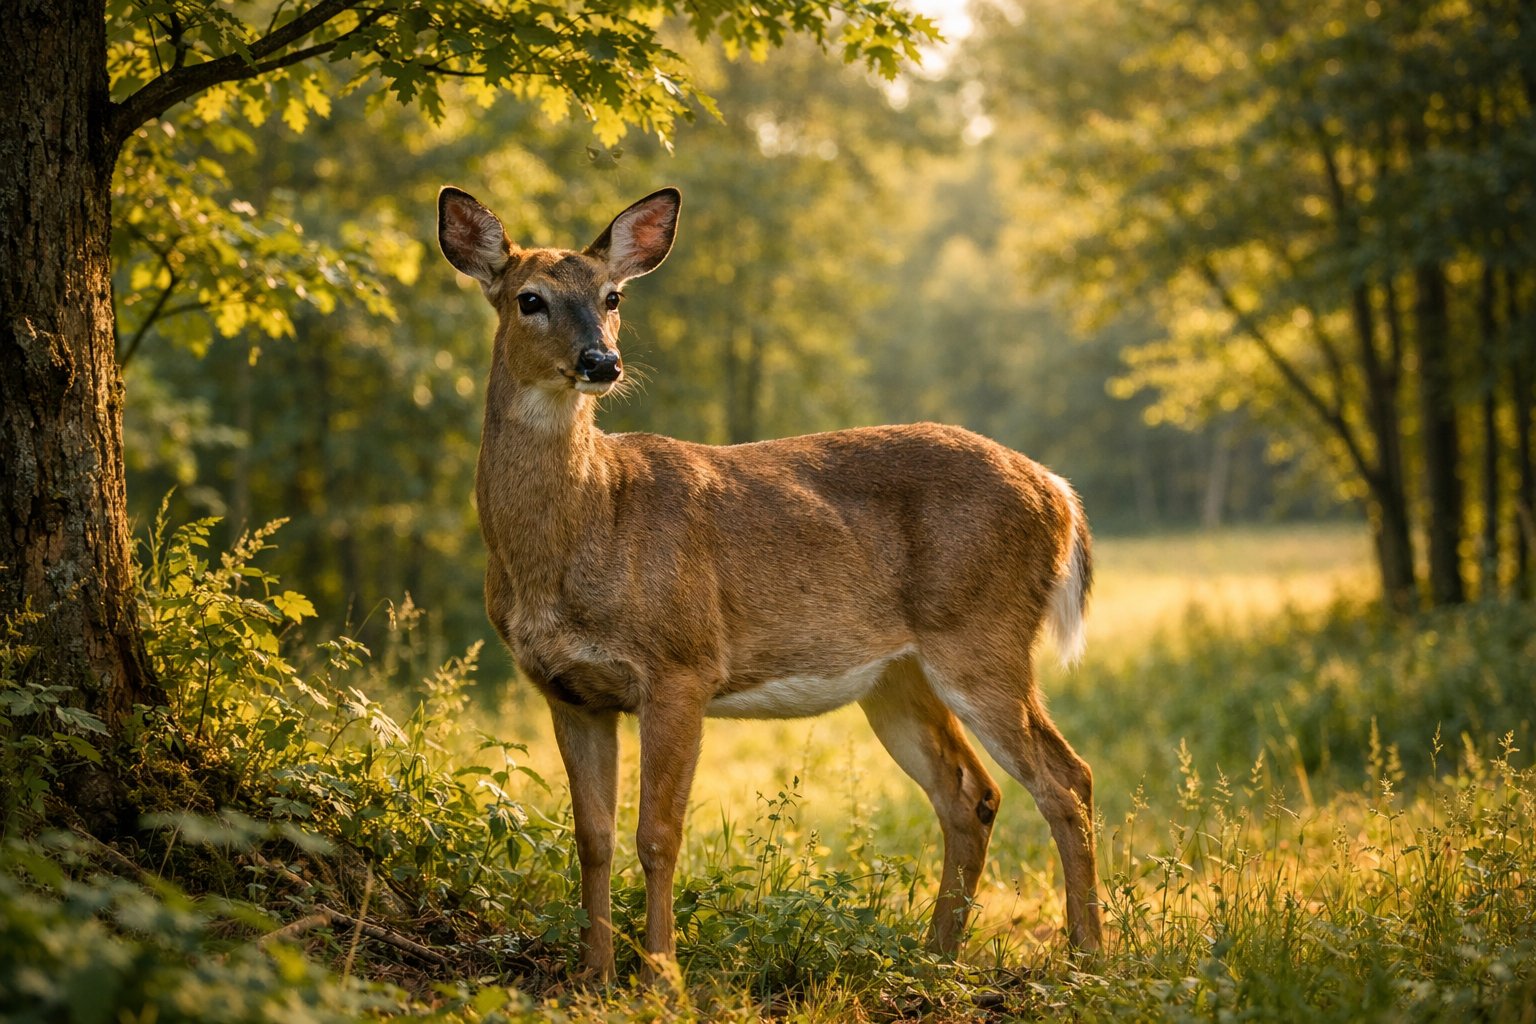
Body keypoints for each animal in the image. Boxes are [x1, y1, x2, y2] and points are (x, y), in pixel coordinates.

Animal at [437, 184, 1103, 981]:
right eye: (529, 298)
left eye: (612, 296)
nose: (603, 361)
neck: (587, 522)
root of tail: (1059, 491)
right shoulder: (568, 690)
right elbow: (592, 838)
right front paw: (594, 976)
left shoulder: (683, 664)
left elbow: (657, 835)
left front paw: (660, 976)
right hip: (899, 675)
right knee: (971, 793)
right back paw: (932, 956)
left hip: (984, 636)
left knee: (1067, 779)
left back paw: (1089, 957)